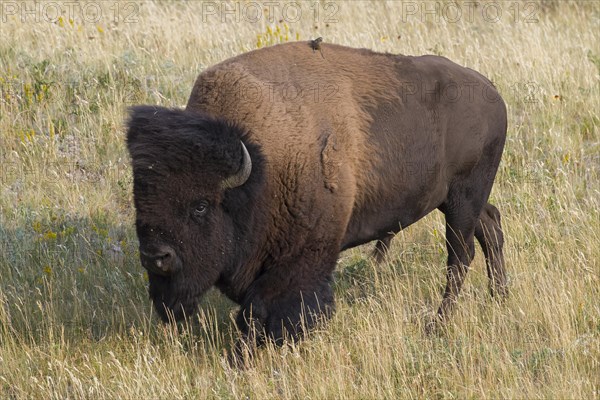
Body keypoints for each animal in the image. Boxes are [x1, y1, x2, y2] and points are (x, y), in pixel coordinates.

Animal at [126, 40, 506, 346]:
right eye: (139, 200)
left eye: (201, 206)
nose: (155, 256)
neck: (261, 165)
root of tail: (491, 92)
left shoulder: (299, 259)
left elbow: (267, 309)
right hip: (459, 200)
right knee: (491, 226)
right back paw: (498, 296)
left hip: (462, 198)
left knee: (460, 255)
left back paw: (437, 325)